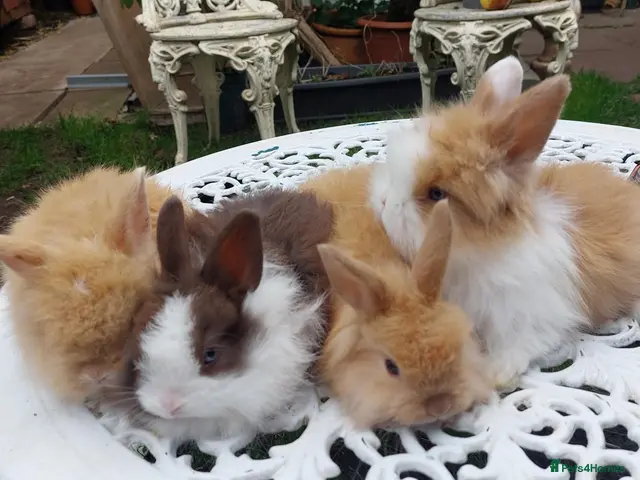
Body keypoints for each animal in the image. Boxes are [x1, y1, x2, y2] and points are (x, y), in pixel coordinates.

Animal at [369, 55, 640, 389]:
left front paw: (496, 373)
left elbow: (521, 344)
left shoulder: (533, 315)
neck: (480, 253)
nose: (383, 204)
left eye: (436, 193)